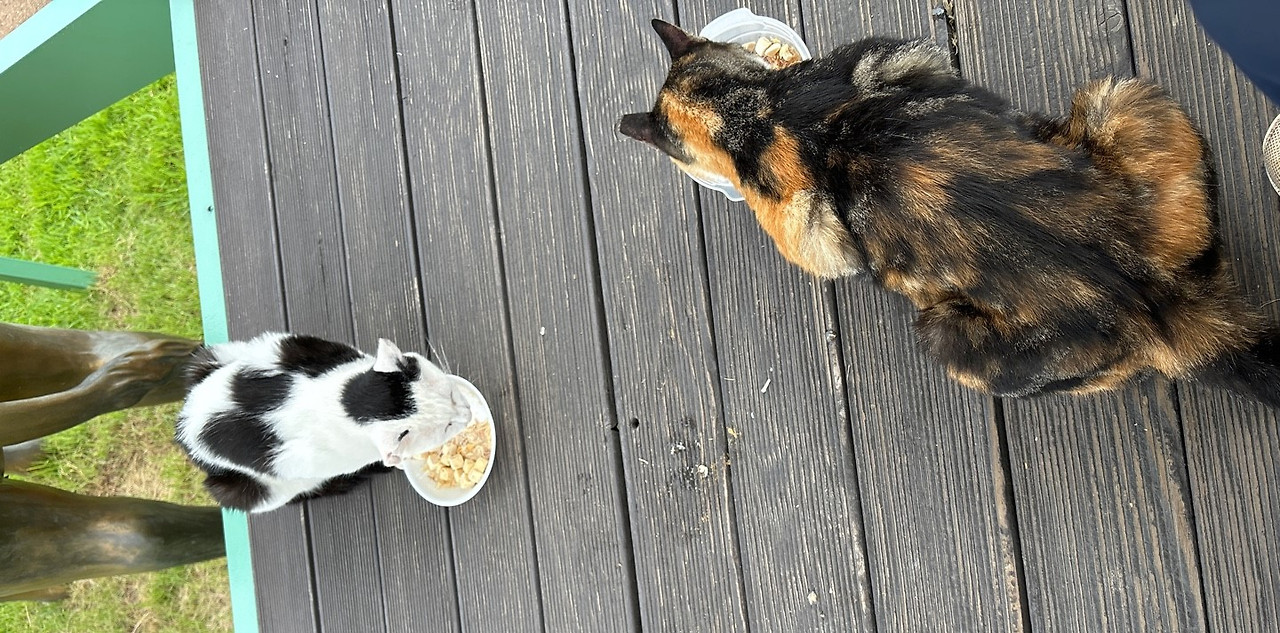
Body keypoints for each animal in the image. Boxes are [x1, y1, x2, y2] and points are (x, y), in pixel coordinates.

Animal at [175, 332, 472, 512]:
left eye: (449, 393)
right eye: (446, 427)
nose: (468, 414)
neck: (347, 406)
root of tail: (184, 433)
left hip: (233, 352)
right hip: (256, 491)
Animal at [620, 20, 1280, 406]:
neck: (754, 111)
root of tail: (1153, 296)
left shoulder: (810, 237)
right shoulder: (907, 55)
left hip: (947, 339)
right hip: (1123, 97)